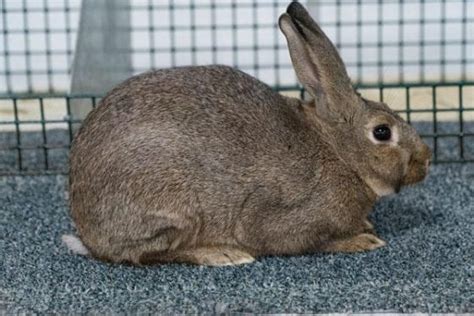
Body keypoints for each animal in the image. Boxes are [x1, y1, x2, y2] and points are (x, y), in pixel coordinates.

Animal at [64, 1, 434, 266]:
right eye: (382, 132)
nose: (426, 160)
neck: (340, 153)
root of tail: (88, 233)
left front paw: (366, 227)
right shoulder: (283, 216)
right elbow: (307, 241)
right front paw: (362, 240)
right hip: (174, 209)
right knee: (145, 254)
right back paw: (223, 254)